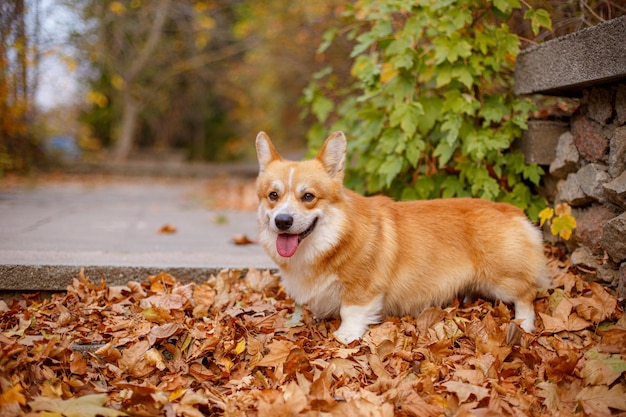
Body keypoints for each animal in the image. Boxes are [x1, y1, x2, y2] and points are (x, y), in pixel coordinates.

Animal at [254, 132, 544, 342]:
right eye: (273, 195)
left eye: (308, 197)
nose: (283, 221)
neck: (332, 238)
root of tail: (512, 210)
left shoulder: (362, 288)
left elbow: (351, 311)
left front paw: (345, 335)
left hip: (503, 279)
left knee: (528, 294)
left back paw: (525, 325)